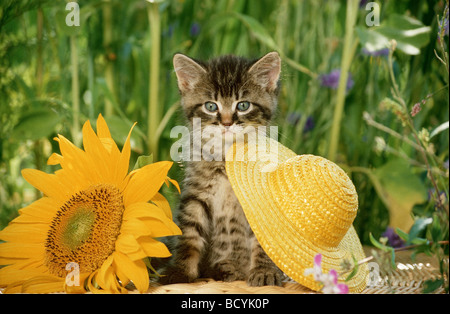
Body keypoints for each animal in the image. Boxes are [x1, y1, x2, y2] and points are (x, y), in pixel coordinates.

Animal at [162, 51, 282, 288]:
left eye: (243, 105)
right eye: (211, 106)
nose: (226, 123)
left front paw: (264, 271)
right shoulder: (196, 193)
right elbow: (188, 234)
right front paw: (181, 271)